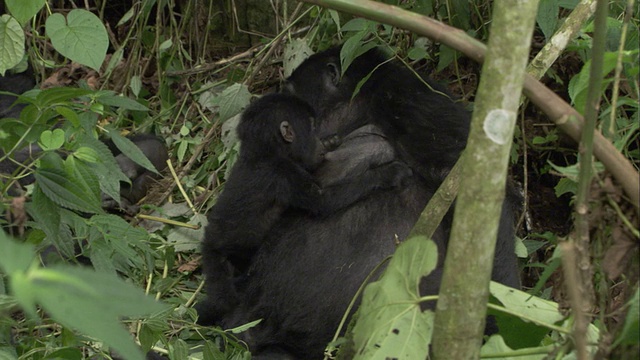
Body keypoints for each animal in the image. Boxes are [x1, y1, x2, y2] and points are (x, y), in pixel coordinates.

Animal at [198, 93, 412, 324]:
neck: (265, 151)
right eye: (311, 126)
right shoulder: (283, 174)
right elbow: (323, 201)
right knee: (224, 297)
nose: (318, 141)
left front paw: (330, 142)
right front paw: (387, 174)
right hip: (216, 260)